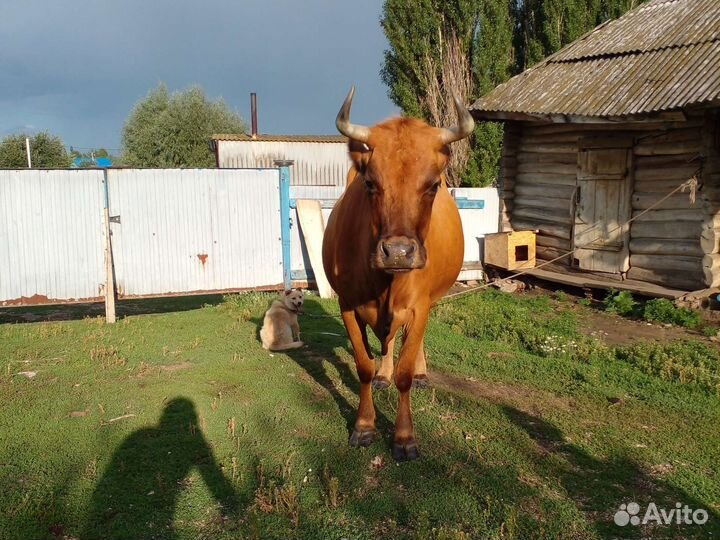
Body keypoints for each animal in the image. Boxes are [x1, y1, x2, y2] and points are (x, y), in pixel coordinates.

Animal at [322, 87, 474, 461]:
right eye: (370, 183)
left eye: (432, 186)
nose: (399, 253)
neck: (385, 284)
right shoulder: (348, 305)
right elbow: (363, 365)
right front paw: (364, 425)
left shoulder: (418, 307)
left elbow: (404, 373)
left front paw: (404, 436)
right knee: (387, 343)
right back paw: (383, 373)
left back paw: (420, 371)